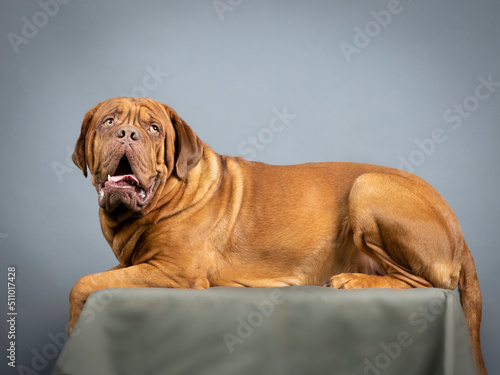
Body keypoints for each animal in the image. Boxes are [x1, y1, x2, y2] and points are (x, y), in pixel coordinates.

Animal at [71, 97, 488, 375]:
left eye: (154, 128)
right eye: (107, 121)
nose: (127, 133)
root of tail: (460, 230)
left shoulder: (175, 271)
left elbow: (84, 283)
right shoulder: (141, 263)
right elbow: (98, 276)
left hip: (367, 186)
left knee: (422, 284)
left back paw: (353, 281)